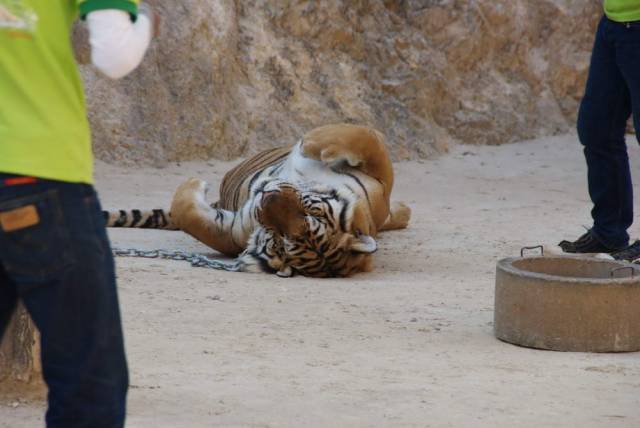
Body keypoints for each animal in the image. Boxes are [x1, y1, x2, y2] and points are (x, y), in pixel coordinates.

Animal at [106, 123, 410, 278]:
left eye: (282, 241)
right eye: (312, 212)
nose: (267, 197)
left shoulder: (231, 231)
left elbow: (186, 213)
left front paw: (193, 184)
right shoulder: (380, 183)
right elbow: (366, 138)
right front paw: (312, 142)